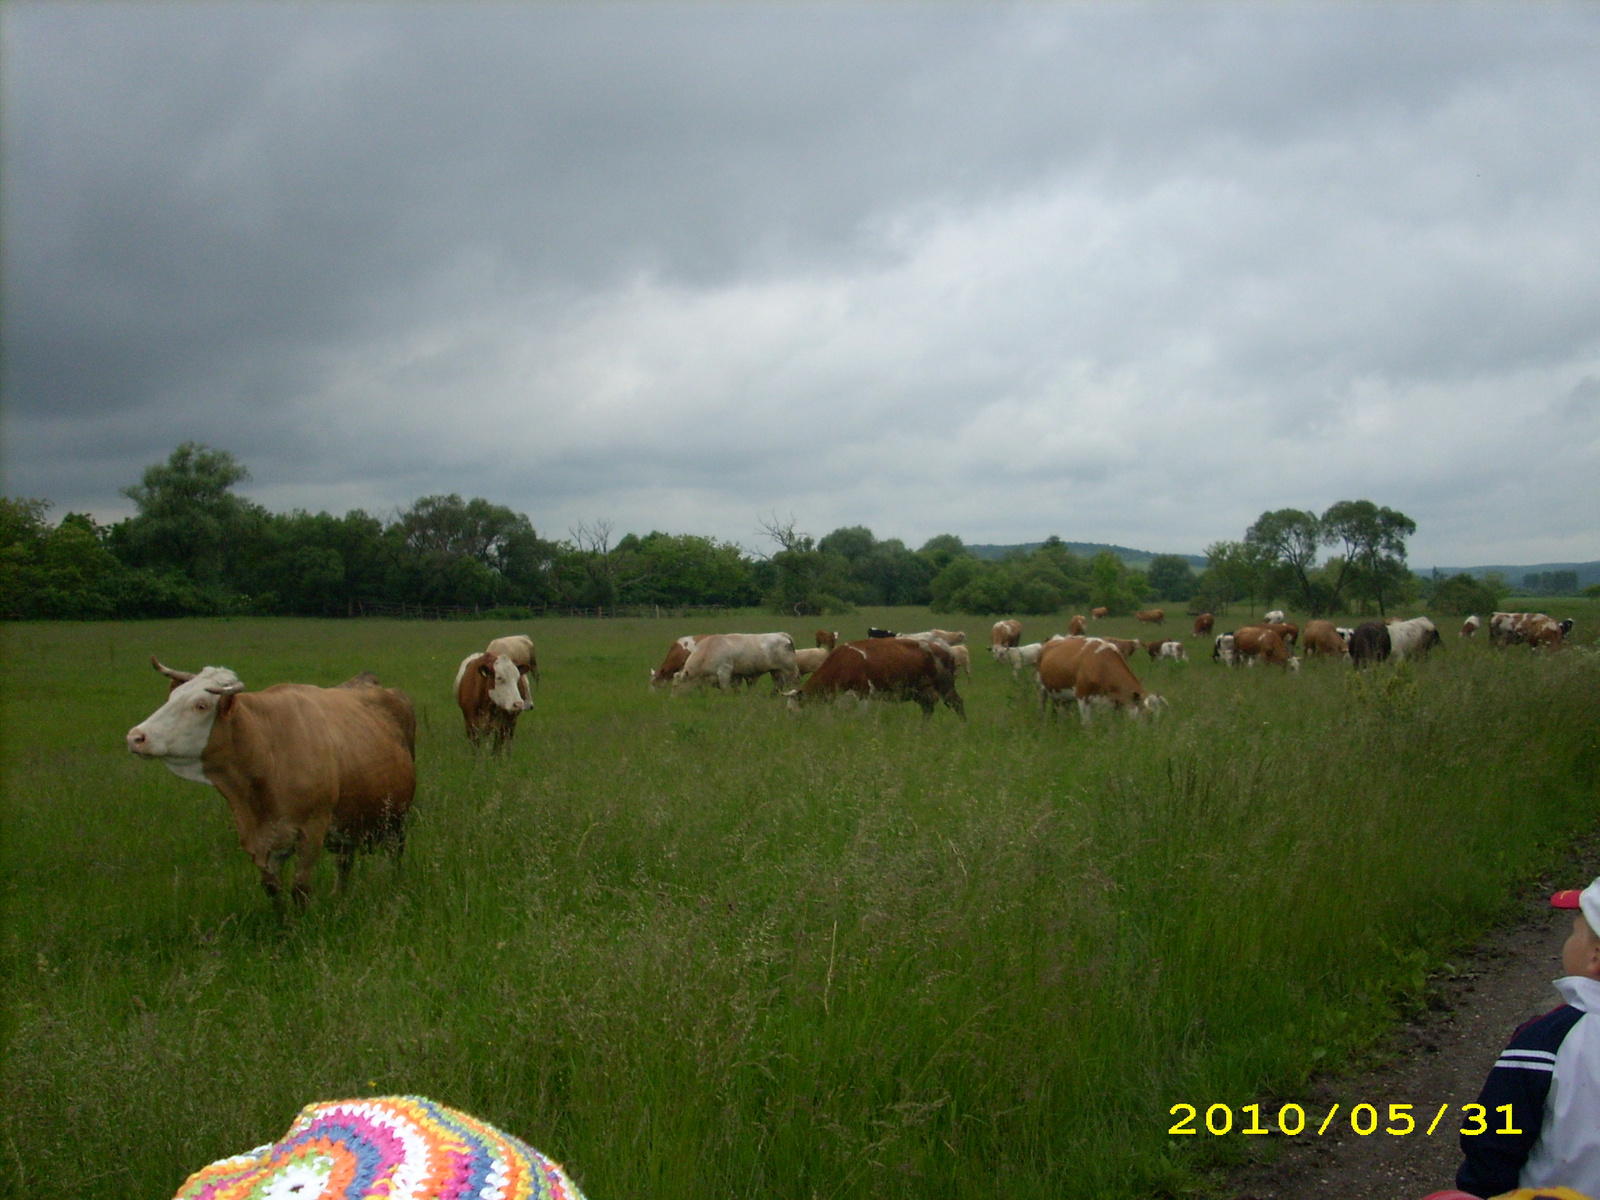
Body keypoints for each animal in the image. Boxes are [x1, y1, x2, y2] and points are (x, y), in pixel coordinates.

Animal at [128, 662, 416, 908]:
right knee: (344, 862)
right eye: (171, 698)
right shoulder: (259, 838)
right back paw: (339, 896)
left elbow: (300, 888)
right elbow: (272, 889)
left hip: (397, 818)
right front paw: (285, 929)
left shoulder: (312, 830)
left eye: (201, 705)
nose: (136, 737)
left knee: (395, 854)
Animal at [672, 630, 800, 694]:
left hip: (789, 668)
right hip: (775, 670)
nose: (672, 700)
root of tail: (781, 634)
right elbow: (736, 688)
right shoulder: (735, 675)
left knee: (794, 680)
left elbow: (725, 688)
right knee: (778, 683)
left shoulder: (724, 671)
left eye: (676, 686)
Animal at [787, 640, 960, 723]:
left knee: (957, 703)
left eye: (792, 709)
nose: (794, 723)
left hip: (945, 685)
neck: (842, 662)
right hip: (922, 690)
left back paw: (962, 726)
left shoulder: (862, 692)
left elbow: (861, 716)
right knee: (928, 709)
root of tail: (946, 648)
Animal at [1036, 633, 1164, 729]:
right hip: (1042, 689)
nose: (1150, 736)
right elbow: (1087, 724)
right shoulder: (1082, 696)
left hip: (1061, 695)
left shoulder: (1116, 702)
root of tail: (1051, 640)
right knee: (1042, 709)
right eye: (1148, 716)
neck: (1102, 664)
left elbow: (1114, 725)